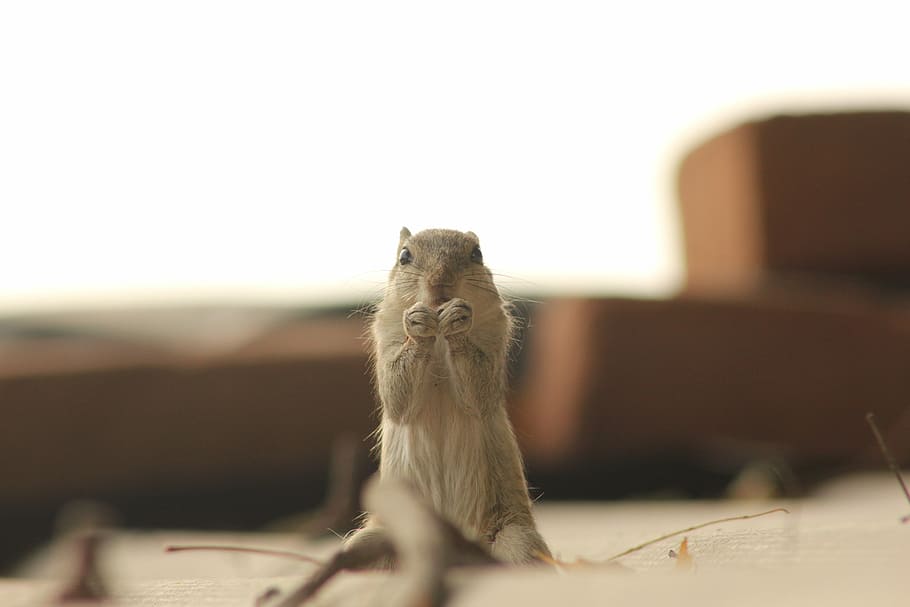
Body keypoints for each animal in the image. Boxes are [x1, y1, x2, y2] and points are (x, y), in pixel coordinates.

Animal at [344, 227, 551, 565]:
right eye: (404, 256)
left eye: (477, 254)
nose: (440, 280)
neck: (439, 339)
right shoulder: (386, 338)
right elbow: (396, 397)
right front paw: (417, 324)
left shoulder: (495, 340)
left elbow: (480, 394)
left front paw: (458, 320)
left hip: (518, 541)